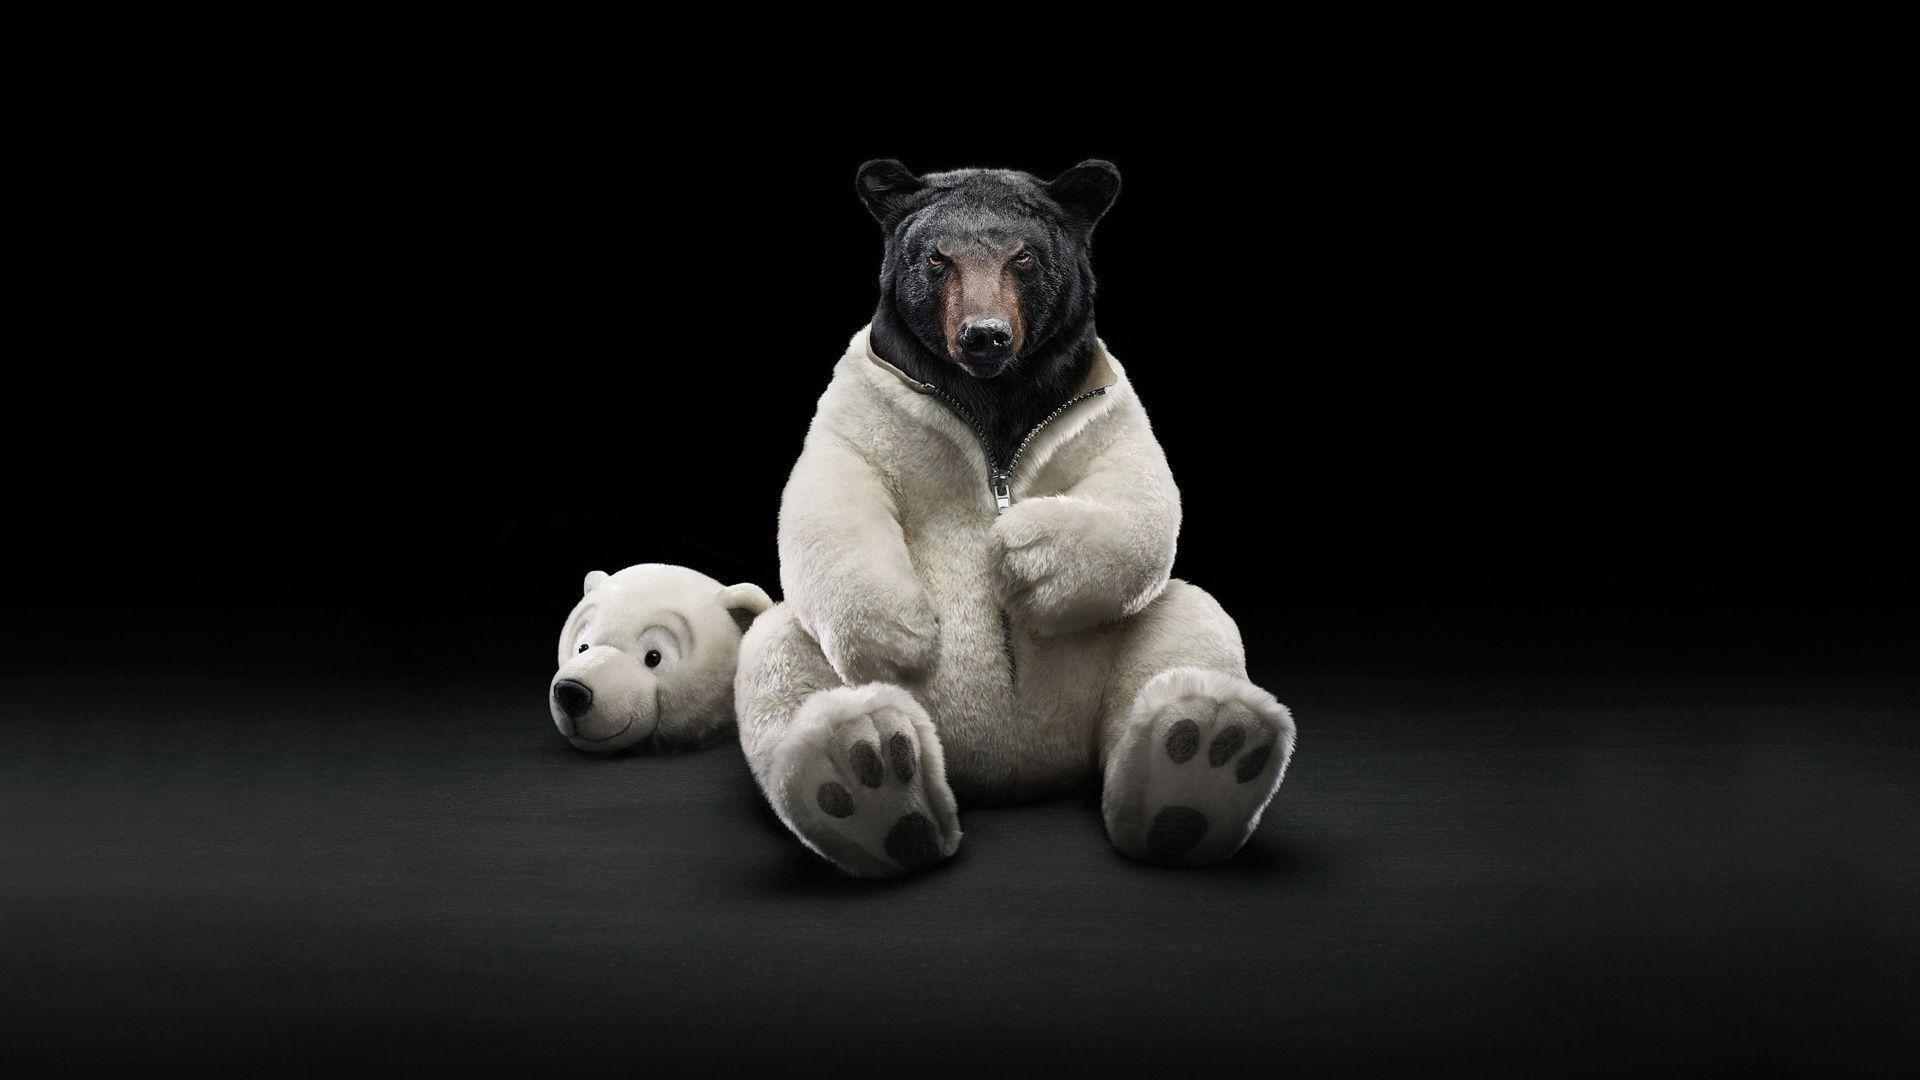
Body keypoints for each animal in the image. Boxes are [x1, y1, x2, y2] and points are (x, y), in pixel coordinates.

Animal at [734, 160, 1298, 877]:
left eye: (1023, 257)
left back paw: (1202, 759)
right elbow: (832, 488)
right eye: (937, 258)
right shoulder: (866, 403)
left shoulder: (1102, 405)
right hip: (814, 661)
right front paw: (904, 631)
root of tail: (1012, 773)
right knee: (783, 656)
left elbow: (1138, 490)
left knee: (1187, 624)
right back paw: (869, 781)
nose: (984, 335)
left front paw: (1023, 555)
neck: (993, 397)